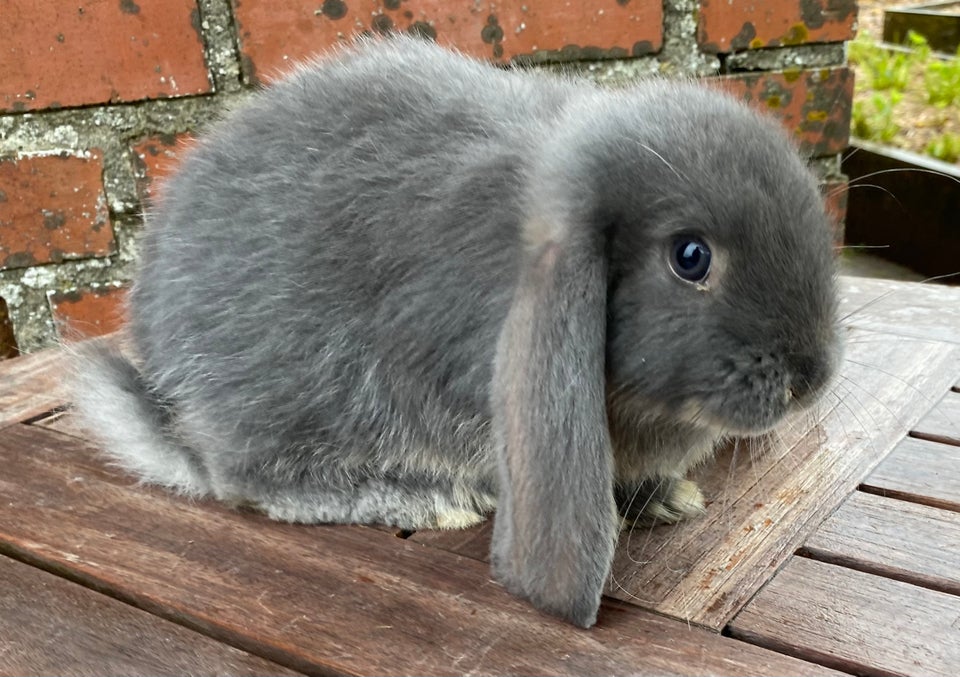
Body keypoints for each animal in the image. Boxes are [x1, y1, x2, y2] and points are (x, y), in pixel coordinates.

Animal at [73, 35, 840, 628]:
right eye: (690, 257)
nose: (812, 379)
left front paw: (668, 497)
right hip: (302, 399)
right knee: (250, 481)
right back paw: (430, 500)